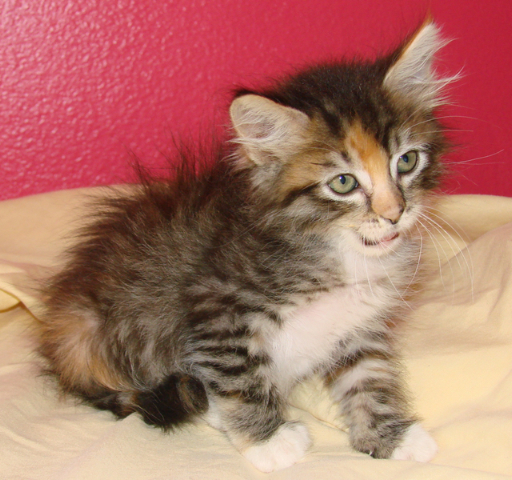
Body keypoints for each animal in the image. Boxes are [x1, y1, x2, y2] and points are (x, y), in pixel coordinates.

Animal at [39, 22, 448, 472]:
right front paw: (267, 440)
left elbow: (368, 376)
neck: (334, 251)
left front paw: (392, 435)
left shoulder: (359, 325)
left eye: (407, 161)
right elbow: (238, 375)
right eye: (343, 183)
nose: (395, 213)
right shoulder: (216, 307)